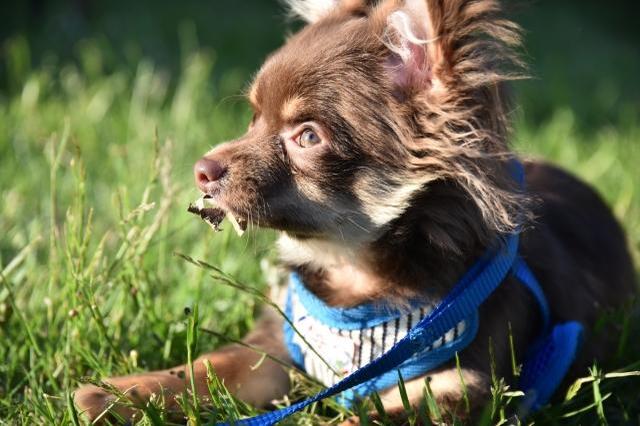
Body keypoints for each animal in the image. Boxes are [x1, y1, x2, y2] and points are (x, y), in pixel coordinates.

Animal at [75, 0, 636, 422]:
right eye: (253, 119)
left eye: (307, 137)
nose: (202, 169)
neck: (350, 268)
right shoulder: (276, 353)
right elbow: (209, 367)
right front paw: (117, 392)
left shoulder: (459, 388)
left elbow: (360, 418)